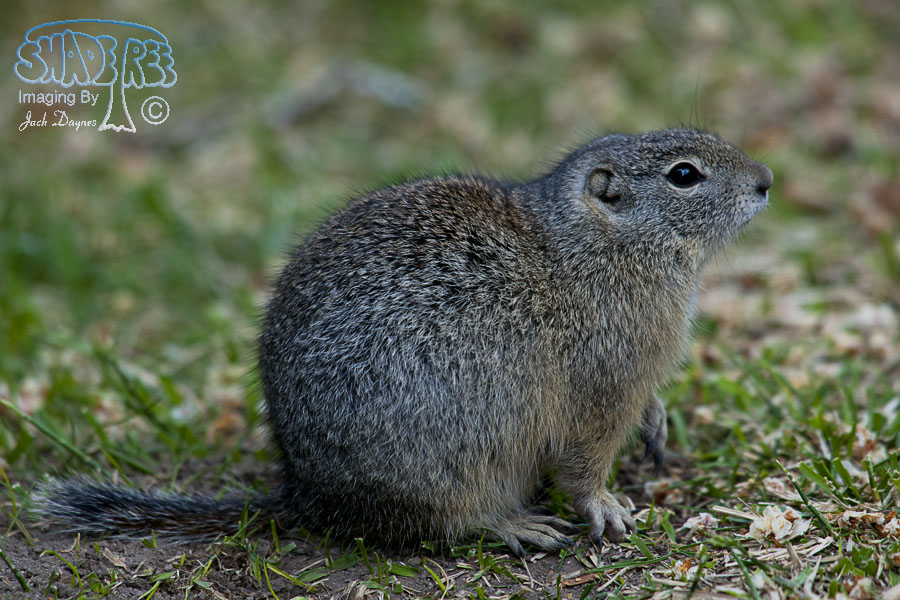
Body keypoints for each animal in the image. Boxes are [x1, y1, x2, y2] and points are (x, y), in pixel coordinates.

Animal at [37, 128, 772, 556]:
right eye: (685, 174)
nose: (766, 180)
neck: (603, 245)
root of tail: (306, 495)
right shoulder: (603, 387)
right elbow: (586, 465)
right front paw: (608, 509)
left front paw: (658, 424)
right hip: (457, 463)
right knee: (446, 522)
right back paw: (516, 526)